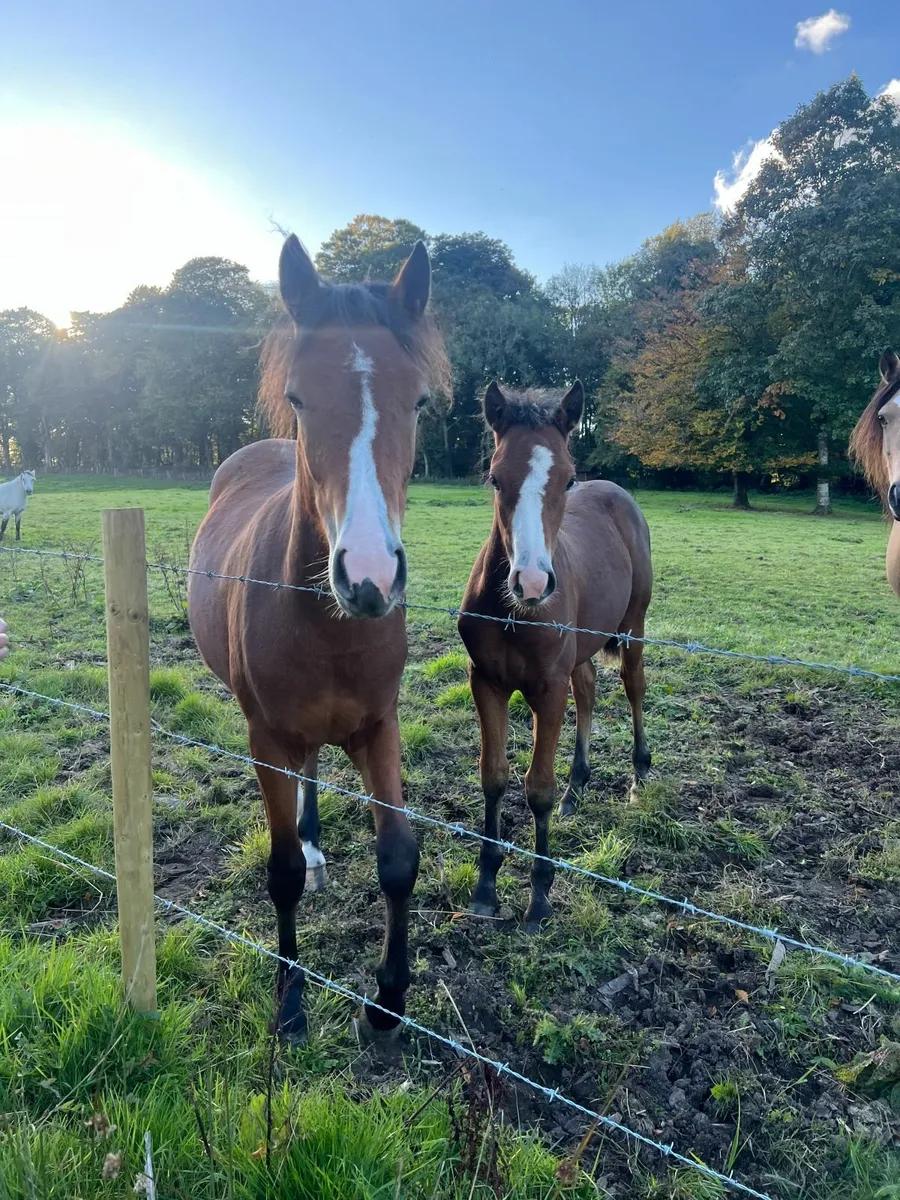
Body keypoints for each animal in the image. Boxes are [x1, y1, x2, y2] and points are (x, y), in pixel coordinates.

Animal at [187, 234, 449, 1043]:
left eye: (418, 400)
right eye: (300, 396)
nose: (369, 575)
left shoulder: (378, 726)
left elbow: (398, 856)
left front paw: (388, 1001)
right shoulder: (265, 737)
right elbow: (282, 875)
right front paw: (292, 1001)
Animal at [457, 383, 653, 932]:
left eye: (566, 479)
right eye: (495, 478)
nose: (532, 583)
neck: (514, 613)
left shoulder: (546, 689)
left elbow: (537, 787)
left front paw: (540, 897)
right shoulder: (485, 682)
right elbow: (494, 776)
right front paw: (486, 886)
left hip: (634, 626)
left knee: (633, 685)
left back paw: (639, 773)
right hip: (582, 648)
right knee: (587, 690)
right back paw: (577, 787)